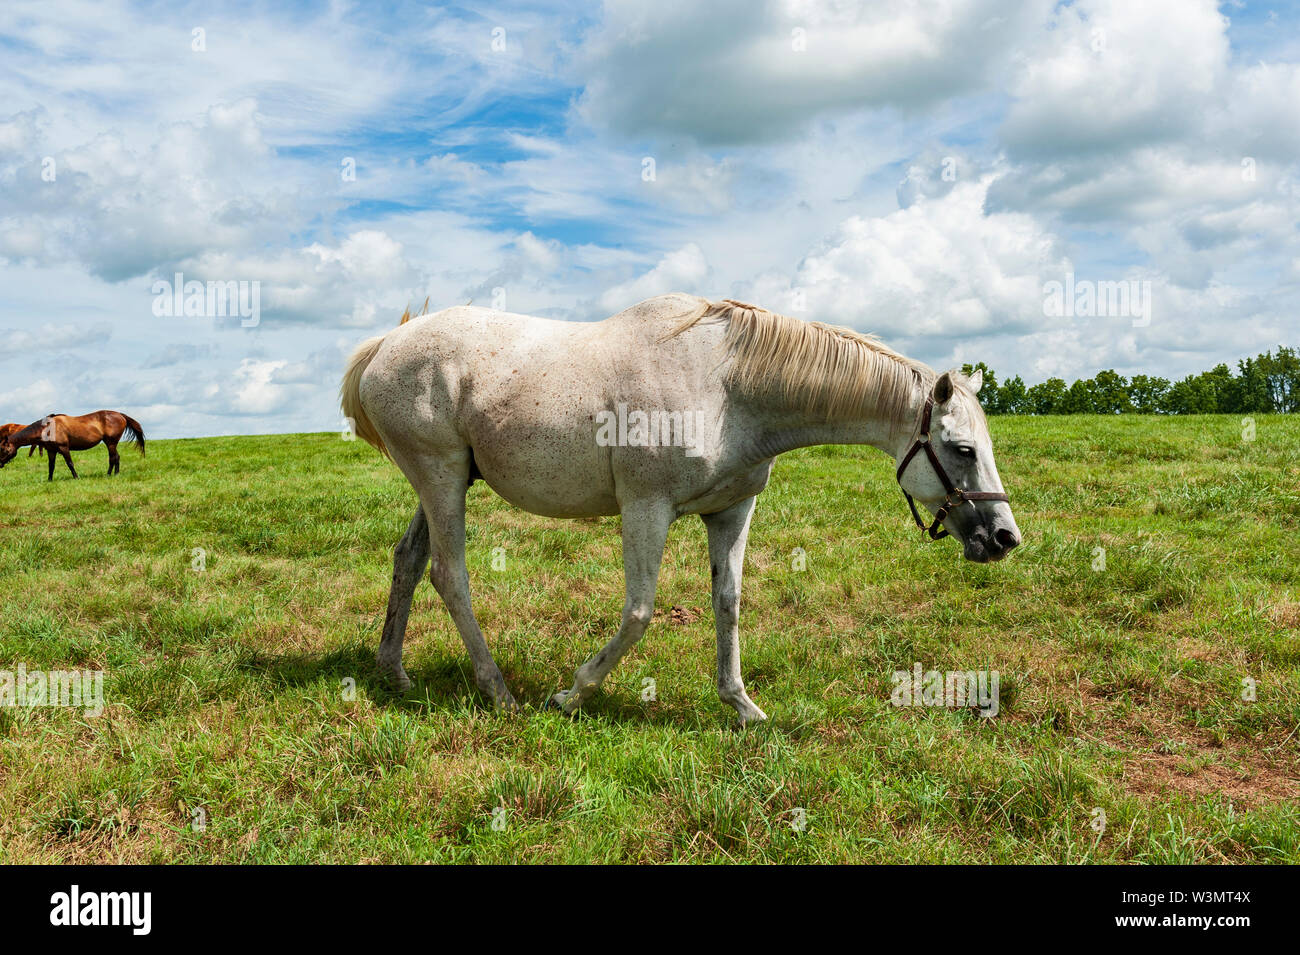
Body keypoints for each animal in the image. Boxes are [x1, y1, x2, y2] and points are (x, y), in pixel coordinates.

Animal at [0, 411, 145, 480]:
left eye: (4, 450)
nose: (0, 464)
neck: (48, 428)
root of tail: (120, 415)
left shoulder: (64, 448)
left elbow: (70, 463)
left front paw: (76, 477)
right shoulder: (51, 451)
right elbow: (51, 466)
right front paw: (49, 480)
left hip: (111, 443)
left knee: (113, 458)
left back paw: (110, 475)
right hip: (110, 443)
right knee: (116, 457)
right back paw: (114, 474)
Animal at [340, 295, 1020, 724]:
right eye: (962, 449)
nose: (1005, 537)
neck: (728, 388)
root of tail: (387, 343)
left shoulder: (732, 511)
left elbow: (728, 603)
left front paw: (741, 705)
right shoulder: (647, 509)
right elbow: (640, 612)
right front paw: (572, 695)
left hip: (446, 483)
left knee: (408, 562)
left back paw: (393, 673)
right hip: (442, 478)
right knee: (449, 574)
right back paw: (499, 691)